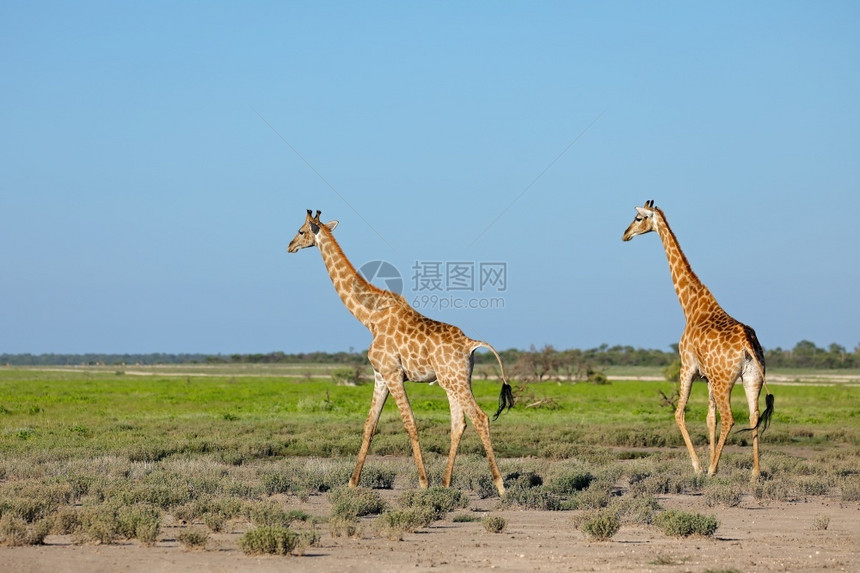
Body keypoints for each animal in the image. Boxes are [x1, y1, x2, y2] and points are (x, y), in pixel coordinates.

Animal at [288, 208, 516, 494]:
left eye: (301, 231)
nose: (289, 246)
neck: (369, 316)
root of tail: (471, 344)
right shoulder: (380, 375)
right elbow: (369, 425)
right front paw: (352, 482)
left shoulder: (393, 373)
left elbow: (410, 423)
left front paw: (423, 482)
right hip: (455, 380)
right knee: (459, 423)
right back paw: (446, 483)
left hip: (455, 381)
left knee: (480, 418)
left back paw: (499, 485)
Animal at [620, 201, 776, 478]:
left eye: (638, 218)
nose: (625, 235)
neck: (691, 305)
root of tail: (748, 344)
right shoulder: (708, 377)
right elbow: (709, 419)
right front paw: (711, 461)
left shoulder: (688, 367)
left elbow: (680, 414)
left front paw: (699, 466)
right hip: (752, 378)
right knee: (753, 416)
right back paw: (755, 473)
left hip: (725, 380)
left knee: (730, 418)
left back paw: (712, 470)